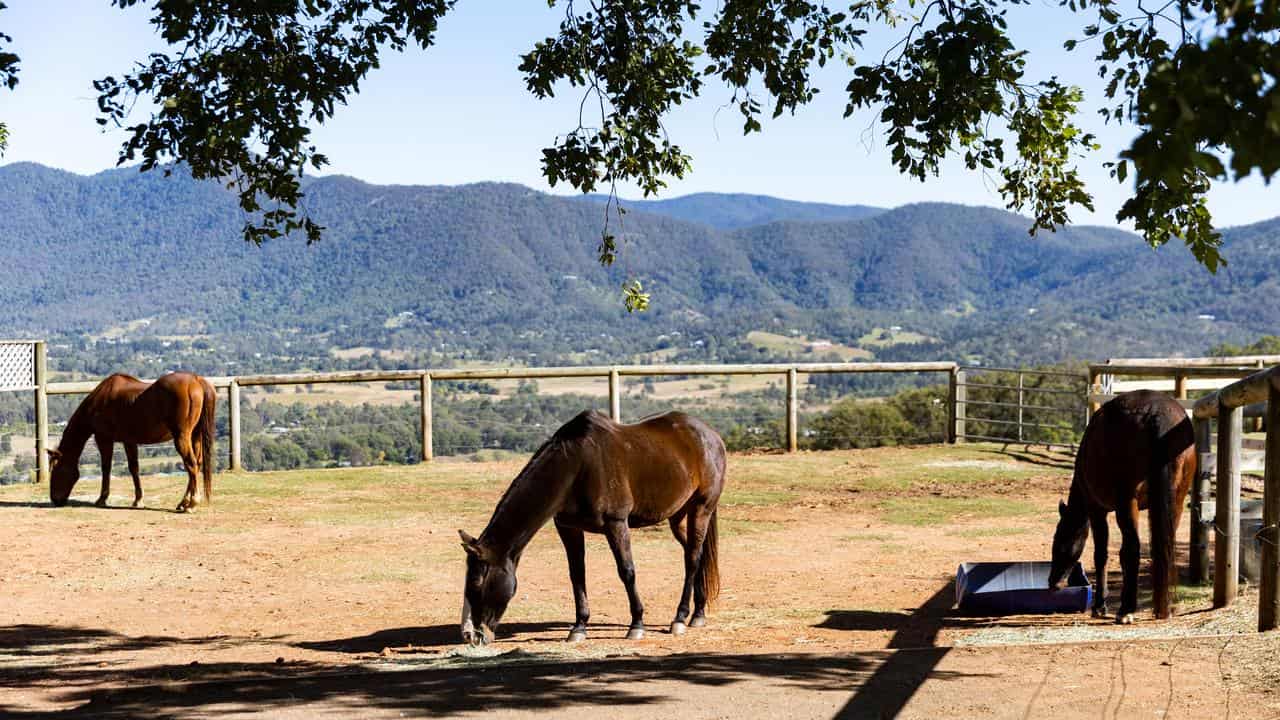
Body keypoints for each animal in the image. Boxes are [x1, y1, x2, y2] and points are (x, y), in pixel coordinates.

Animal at [48, 368, 216, 509]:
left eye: (55, 469)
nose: (55, 500)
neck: (98, 402)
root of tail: (196, 380)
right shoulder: (129, 441)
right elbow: (134, 468)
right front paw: (138, 500)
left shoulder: (104, 439)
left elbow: (106, 467)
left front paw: (102, 499)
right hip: (195, 436)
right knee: (196, 464)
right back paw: (183, 502)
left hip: (182, 437)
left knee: (191, 464)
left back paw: (191, 503)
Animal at [460, 409, 727, 645]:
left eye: (477, 582)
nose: (472, 635)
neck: (577, 466)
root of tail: (711, 436)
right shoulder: (568, 528)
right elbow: (577, 575)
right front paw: (579, 628)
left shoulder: (616, 524)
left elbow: (627, 571)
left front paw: (636, 624)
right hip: (678, 517)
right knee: (698, 554)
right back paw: (698, 614)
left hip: (701, 509)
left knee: (692, 559)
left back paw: (680, 618)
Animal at [1054, 389, 1192, 620]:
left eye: (1058, 541)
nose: (1052, 582)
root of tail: (1157, 414)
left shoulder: (1097, 510)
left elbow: (1101, 554)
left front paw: (1100, 606)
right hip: (1176, 501)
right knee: (1163, 548)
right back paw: (1161, 608)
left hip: (1127, 504)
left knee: (1132, 549)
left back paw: (1126, 610)